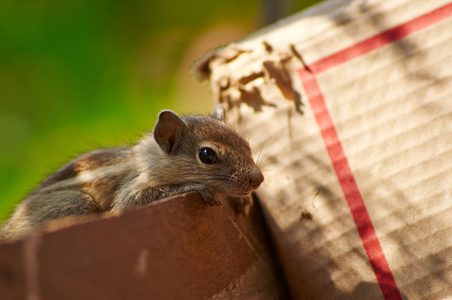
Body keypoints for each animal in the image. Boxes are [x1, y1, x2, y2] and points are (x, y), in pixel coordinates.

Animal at [0, 105, 264, 239]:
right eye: (207, 155)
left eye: (246, 143)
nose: (258, 179)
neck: (151, 160)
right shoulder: (131, 191)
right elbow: (130, 202)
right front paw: (195, 186)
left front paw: (243, 200)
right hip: (76, 202)